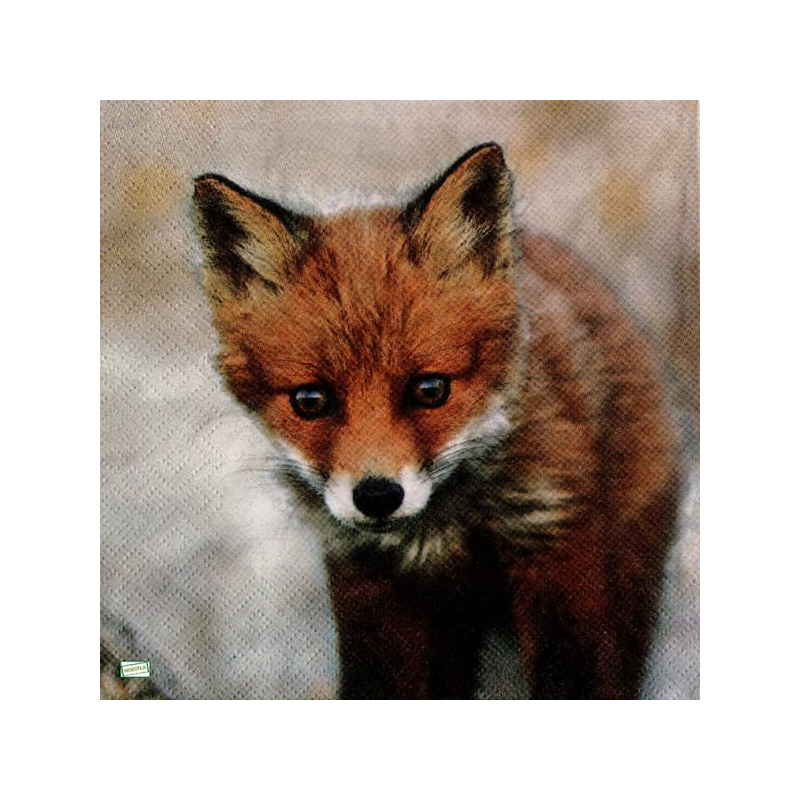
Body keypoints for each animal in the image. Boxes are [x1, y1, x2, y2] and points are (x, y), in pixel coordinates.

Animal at [193, 143, 680, 699]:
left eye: (430, 390)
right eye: (310, 400)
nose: (377, 496)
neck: (441, 530)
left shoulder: (553, 543)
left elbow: (574, 680)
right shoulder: (370, 584)